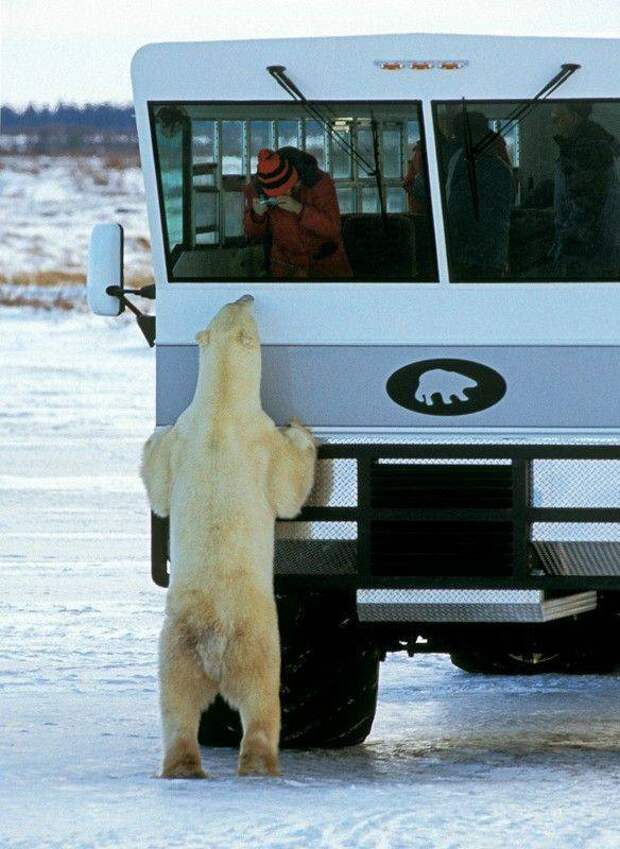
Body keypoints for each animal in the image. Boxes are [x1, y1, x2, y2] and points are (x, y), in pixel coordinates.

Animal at [140, 294, 314, 780]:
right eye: (243, 311)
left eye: (229, 305)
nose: (246, 295)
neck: (220, 406)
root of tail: (213, 639)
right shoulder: (262, 439)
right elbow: (290, 489)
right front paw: (303, 430)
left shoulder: (183, 436)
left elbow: (158, 478)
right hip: (255, 638)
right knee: (261, 698)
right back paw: (259, 764)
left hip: (175, 647)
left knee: (176, 705)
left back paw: (182, 766)